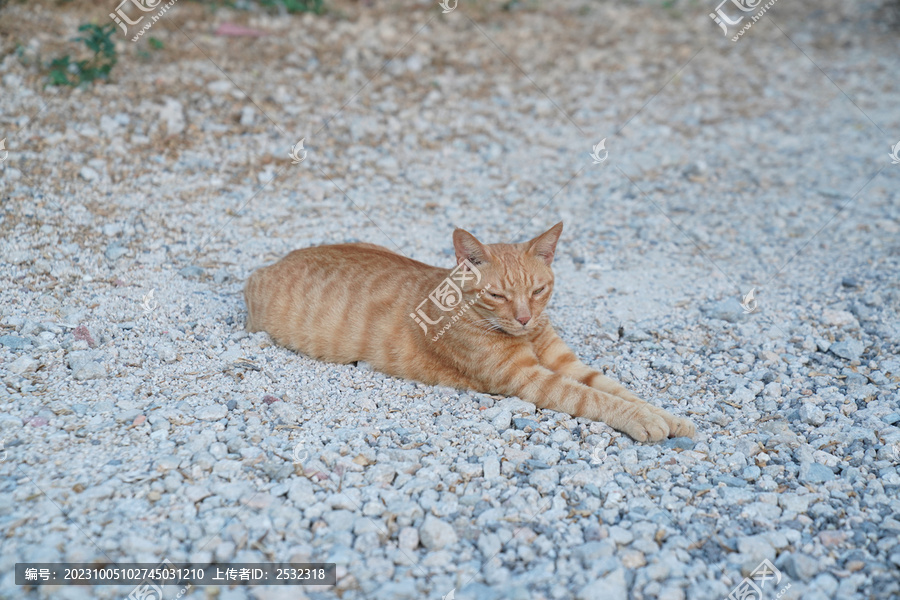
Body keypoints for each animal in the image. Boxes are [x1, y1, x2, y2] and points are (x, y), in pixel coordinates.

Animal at [246, 224, 696, 440]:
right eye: (497, 294)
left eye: (538, 290)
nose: (524, 318)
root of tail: (268, 265)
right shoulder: (531, 379)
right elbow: (595, 398)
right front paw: (645, 420)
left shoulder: (566, 363)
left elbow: (617, 390)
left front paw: (669, 417)